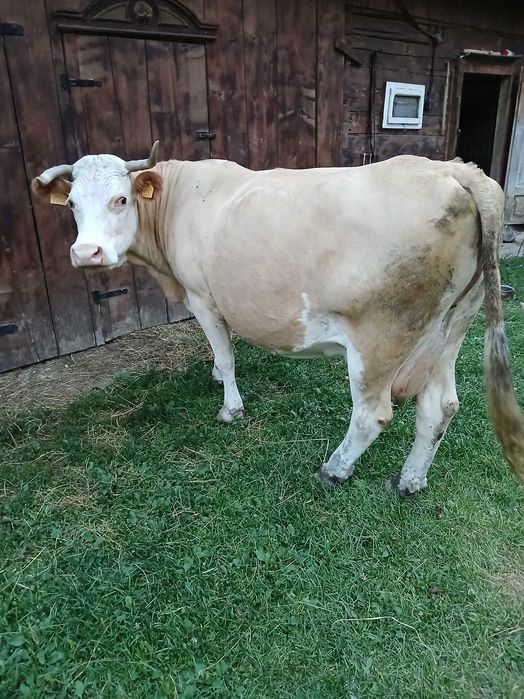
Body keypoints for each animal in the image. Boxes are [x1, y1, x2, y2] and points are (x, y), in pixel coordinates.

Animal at [32, 143, 524, 494]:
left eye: (120, 199)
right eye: (72, 203)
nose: (86, 253)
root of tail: (456, 171)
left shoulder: (202, 296)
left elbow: (225, 354)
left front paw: (230, 406)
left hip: (381, 338)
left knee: (373, 414)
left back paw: (334, 470)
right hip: (449, 329)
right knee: (440, 407)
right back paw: (410, 481)